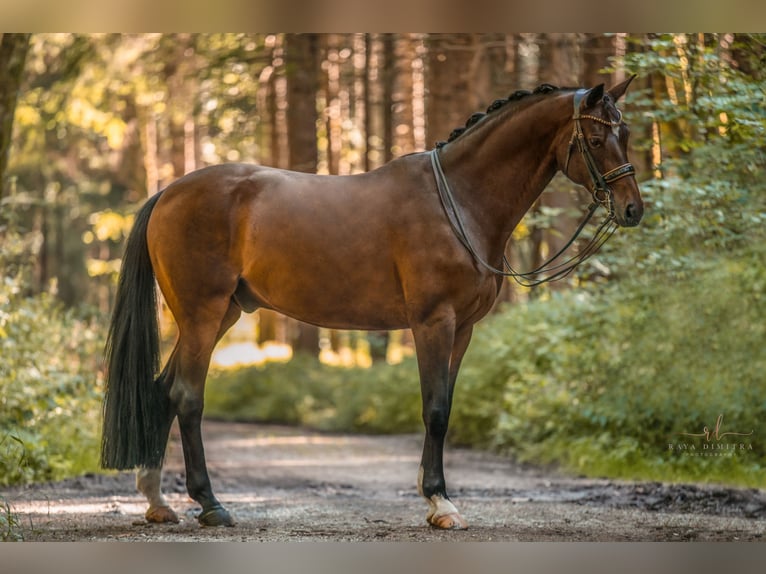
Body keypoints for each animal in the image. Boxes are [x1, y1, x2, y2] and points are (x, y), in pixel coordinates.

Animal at [100, 75, 640, 532]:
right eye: (595, 141)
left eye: (627, 133)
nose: (633, 208)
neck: (458, 202)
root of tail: (168, 192)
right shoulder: (433, 322)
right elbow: (435, 408)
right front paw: (441, 502)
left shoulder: (463, 329)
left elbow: (446, 406)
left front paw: (434, 497)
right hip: (202, 312)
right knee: (186, 397)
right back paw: (211, 505)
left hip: (221, 314)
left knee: (162, 389)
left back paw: (157, 500)